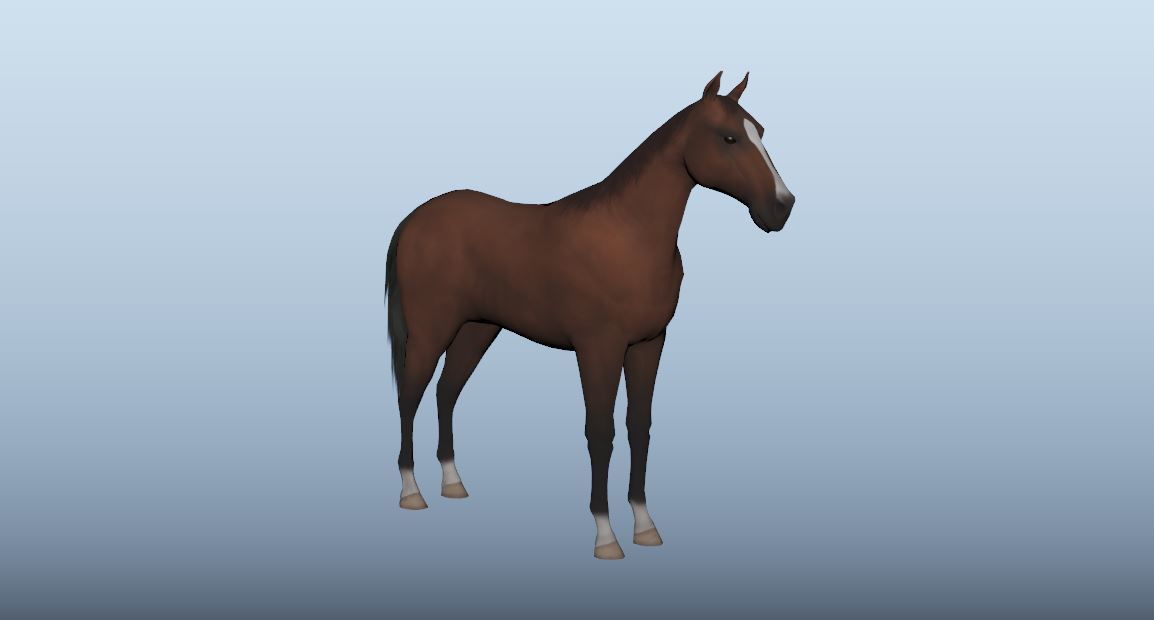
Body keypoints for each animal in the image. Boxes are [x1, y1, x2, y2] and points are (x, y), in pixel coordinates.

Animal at [385, 71, 796, 559]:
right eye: (729, 137)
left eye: (762, 132)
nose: (782, 206)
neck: (629, 234)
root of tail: (414, 219)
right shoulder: (598, 348)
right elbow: (600, 433)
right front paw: (606, 536)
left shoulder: (648, 344)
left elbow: (639, 428)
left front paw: (645, 525)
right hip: (432, 330)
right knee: (410, 394)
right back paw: (412, 493)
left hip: (476, 330)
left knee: (446, 393)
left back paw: (452, 483)